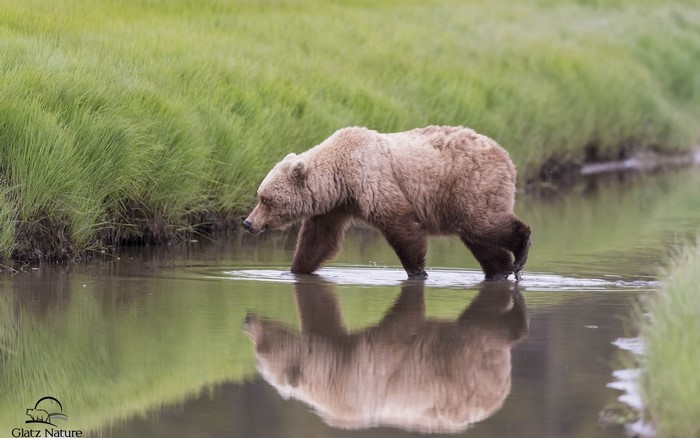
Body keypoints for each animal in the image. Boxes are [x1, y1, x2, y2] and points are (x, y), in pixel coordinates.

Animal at [243, 126, 531, 280]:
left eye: (265, 199)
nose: (247, 223)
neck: (340, 177)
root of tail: (506, 156)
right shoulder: (334, 207)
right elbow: (318, 241)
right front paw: (293, 270)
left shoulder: (373, 181)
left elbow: (402, 226)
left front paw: (417, 272)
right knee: (480, 240)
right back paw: (500, 269)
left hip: (469, 186)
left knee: (481, 223)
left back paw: (521, 248)